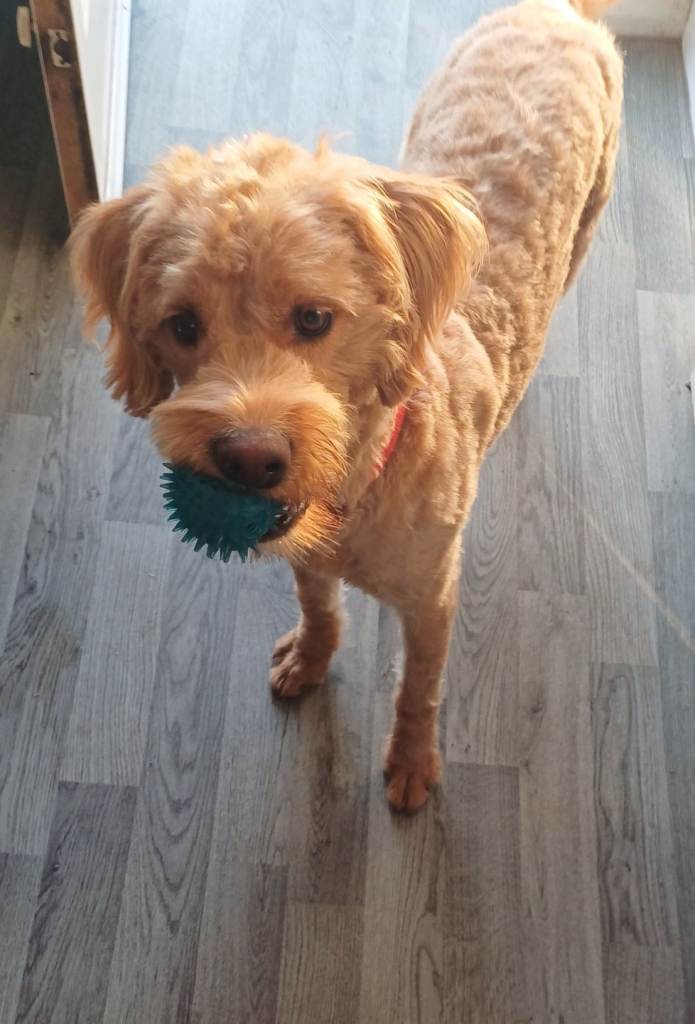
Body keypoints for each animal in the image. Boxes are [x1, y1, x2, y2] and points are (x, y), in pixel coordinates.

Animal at [71, 0, 622, 811]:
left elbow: (419, 686)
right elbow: (319, 609)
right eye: (183, 326)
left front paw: (412, 759)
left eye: (312, 318)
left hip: (589, 217)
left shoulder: (432, 597)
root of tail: (560, 12)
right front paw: (310, 658)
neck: (363, 482)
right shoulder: (307, 558)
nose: (248, 458)